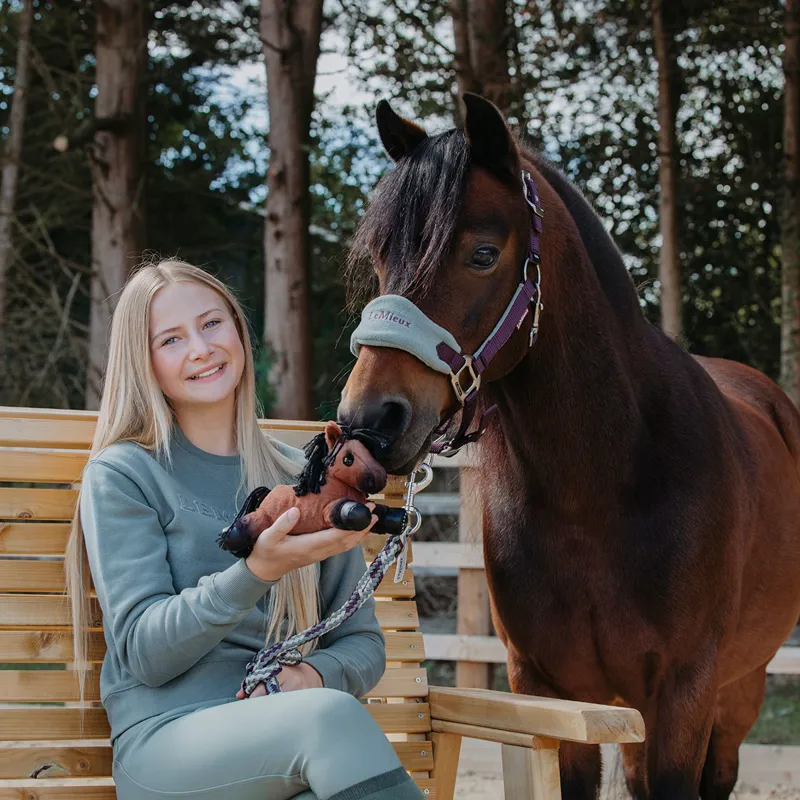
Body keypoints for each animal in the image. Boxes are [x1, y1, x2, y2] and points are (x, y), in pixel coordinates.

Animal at [337, 93, 800, 799]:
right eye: (385, 255)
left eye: (482, 253)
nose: (370, 420)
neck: (600, 490)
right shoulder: (552, 691)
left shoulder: (684, 692)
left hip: (739, 686)